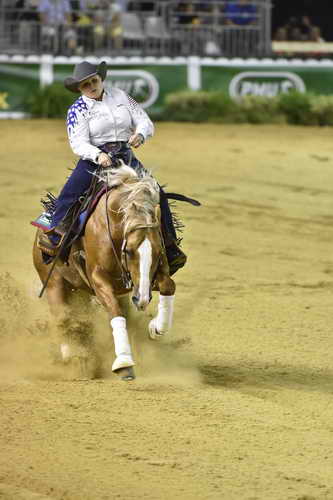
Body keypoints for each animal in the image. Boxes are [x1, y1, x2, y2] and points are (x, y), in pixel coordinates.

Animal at [32, 166, 175, 380]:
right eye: (128, 251)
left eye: (158, 252)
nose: (141, 299)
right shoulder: (98, 279)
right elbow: (115, 311)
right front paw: (124, 362)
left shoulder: (153, 275)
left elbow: (168, 286)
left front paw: (156, 328)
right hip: (52, 282)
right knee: (61, 317)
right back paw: (74, 359)